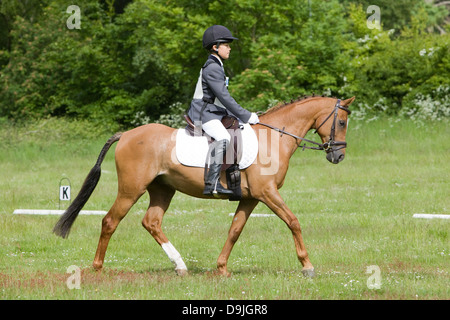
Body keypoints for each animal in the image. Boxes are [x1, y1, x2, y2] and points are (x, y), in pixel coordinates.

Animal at [52, 95, 356, 278]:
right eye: (341, 121)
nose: (338, 156)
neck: (274, 138)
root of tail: (126, 134)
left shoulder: (251, 198)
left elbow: (235, 230)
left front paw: (221, 268)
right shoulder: (268, 193)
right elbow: (293, 221)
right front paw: (307, 266)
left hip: (162, 189)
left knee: (151, 222)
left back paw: (180, 266)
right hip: (131, 189)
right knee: (110, 221)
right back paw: (98, 267)